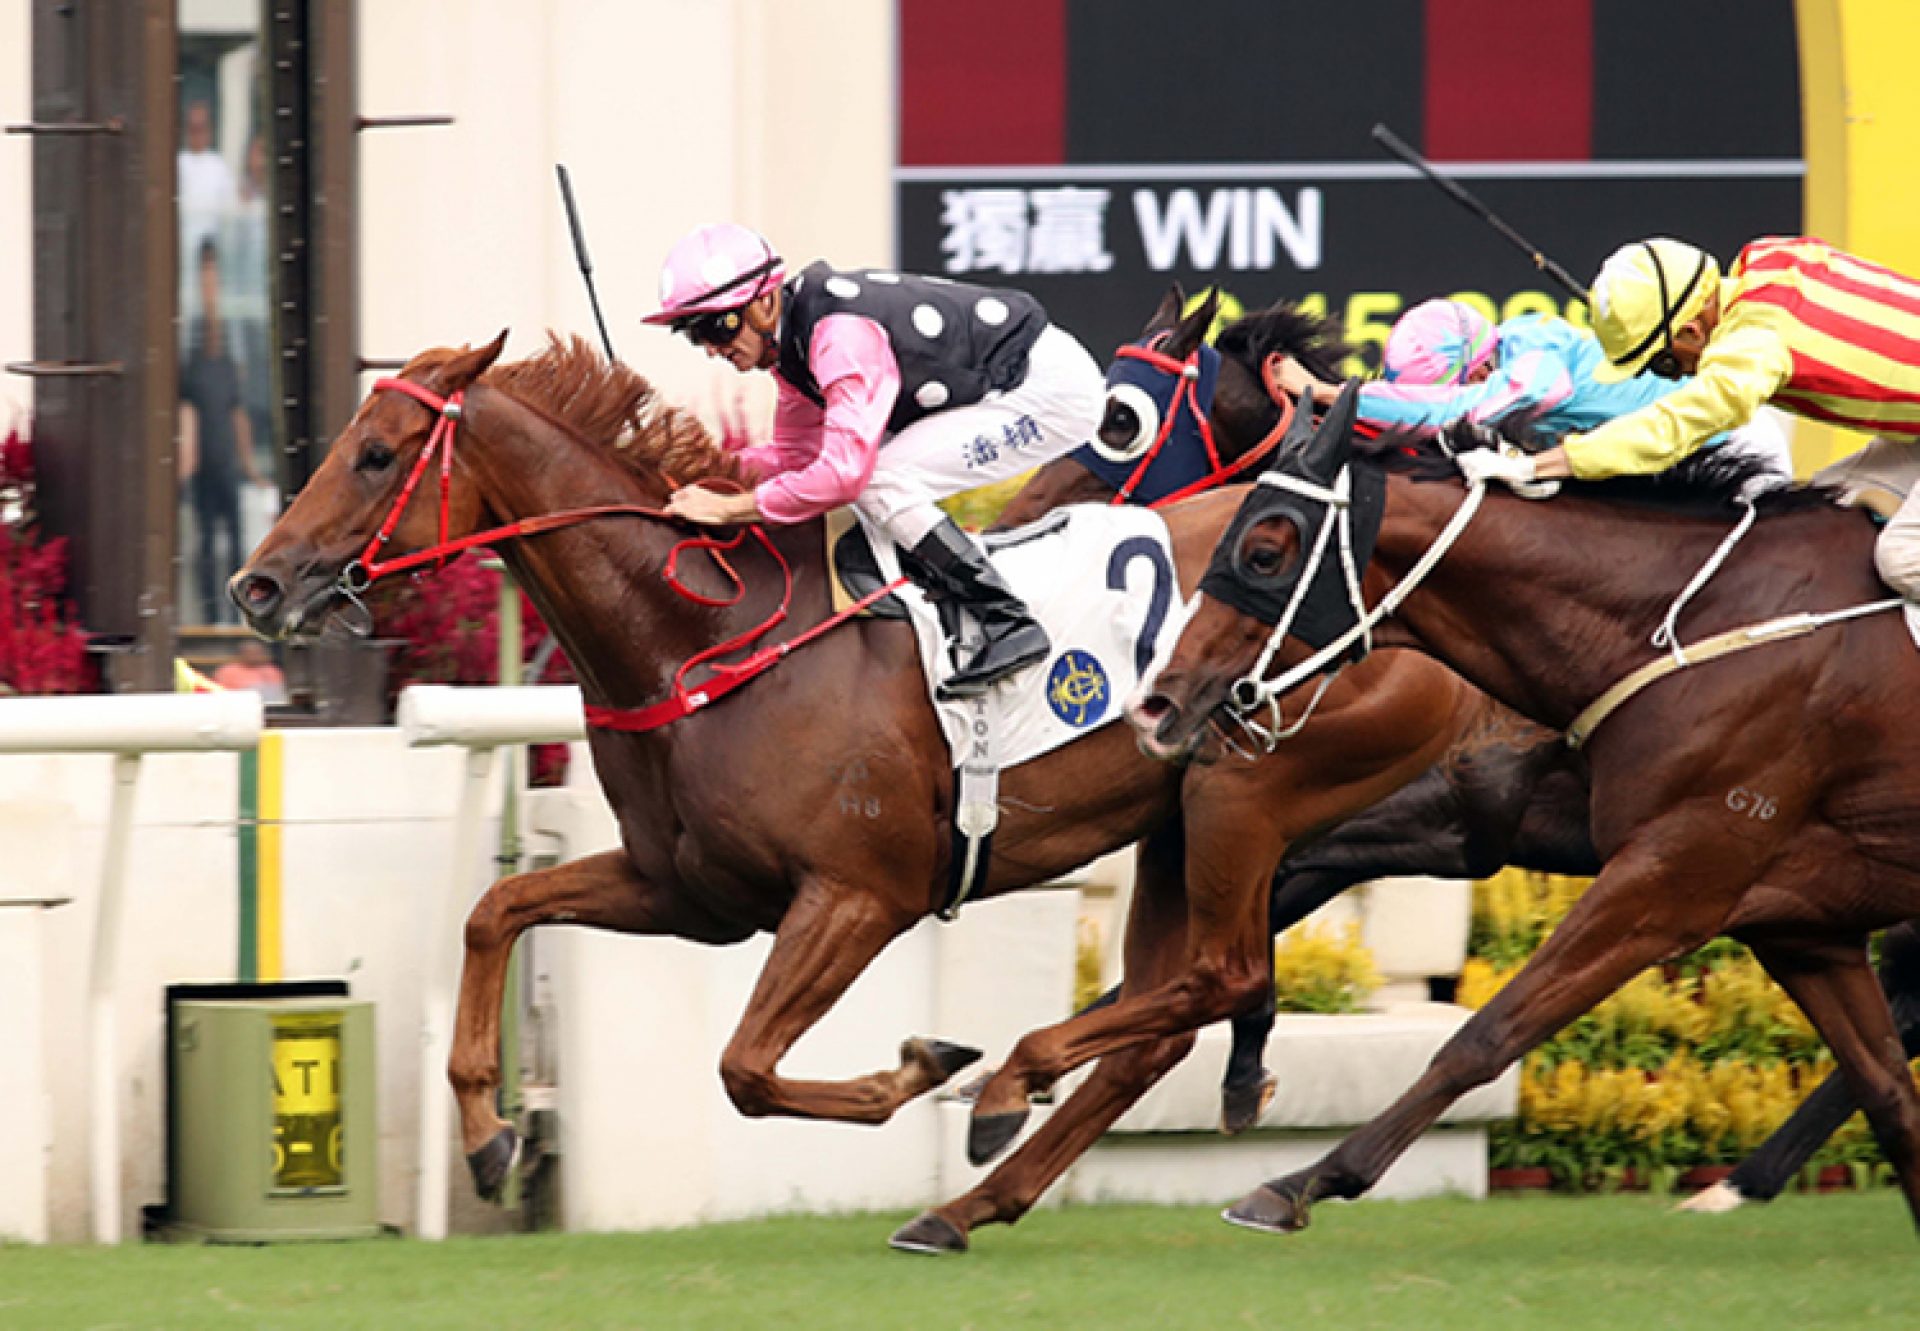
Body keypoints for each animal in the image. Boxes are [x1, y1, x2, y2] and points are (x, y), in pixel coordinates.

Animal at [224, 330, 1474, 1244]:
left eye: (376, 453)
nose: (257, 583)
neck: (703, 637)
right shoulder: (686, 892)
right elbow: (497, 909)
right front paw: (489, 1133)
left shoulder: (858, 893)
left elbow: (743, 1066)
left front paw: (925, 1065)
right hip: (1172, 822)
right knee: (1164, 1020)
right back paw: (970, 1202)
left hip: (1239, 791)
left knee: (1221, 975)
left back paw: (1009, 1102)